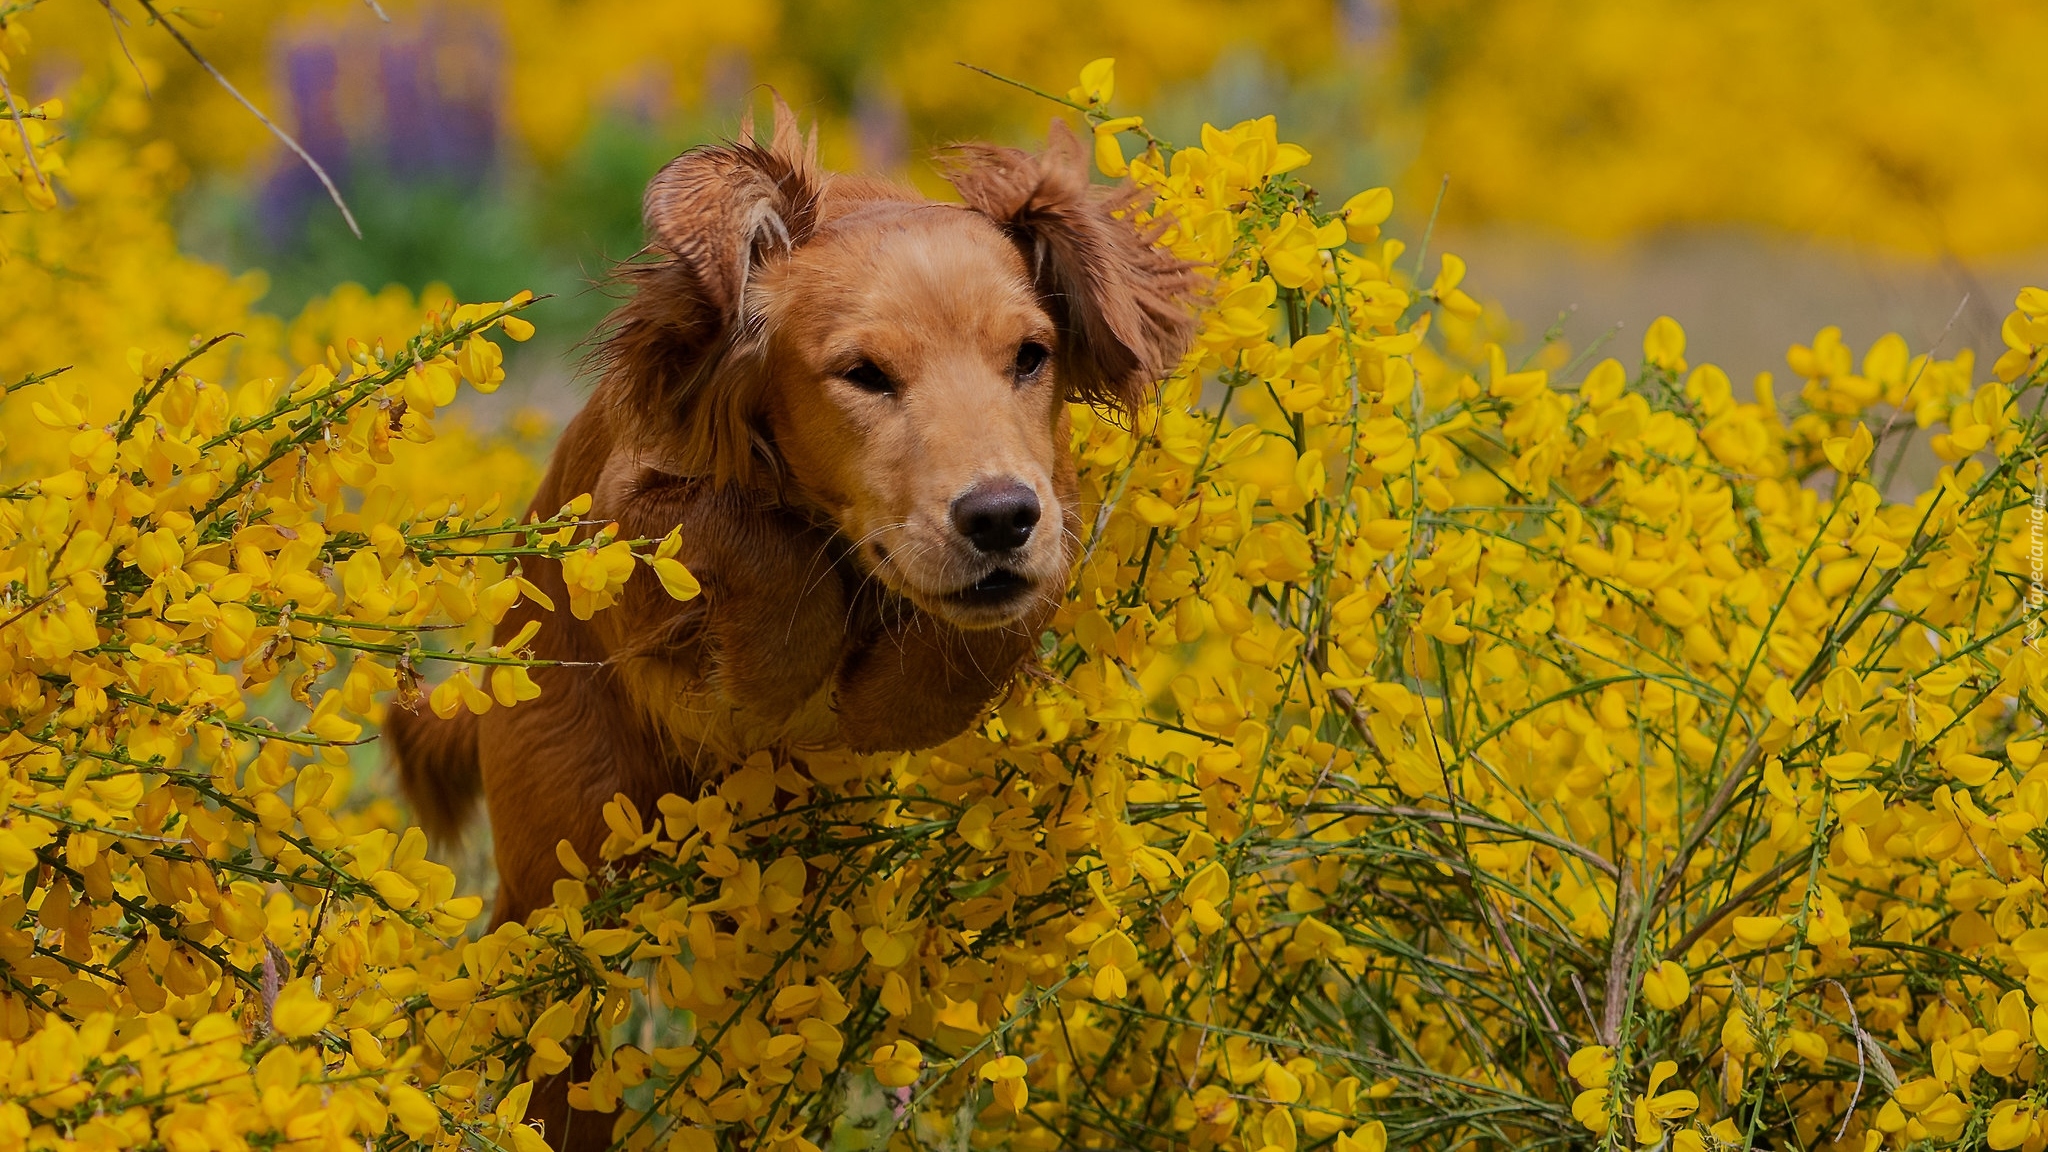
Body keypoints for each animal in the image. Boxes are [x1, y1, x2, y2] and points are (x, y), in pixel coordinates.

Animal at [385, 100, 1196, 922]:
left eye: (1032, 356)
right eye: (863, 374)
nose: (999, 518)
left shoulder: (1053, 498)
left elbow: (1019, 602)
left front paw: (892, 702)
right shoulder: (623, 512)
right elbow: (765, 547)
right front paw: (775, 681)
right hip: (563, 843)